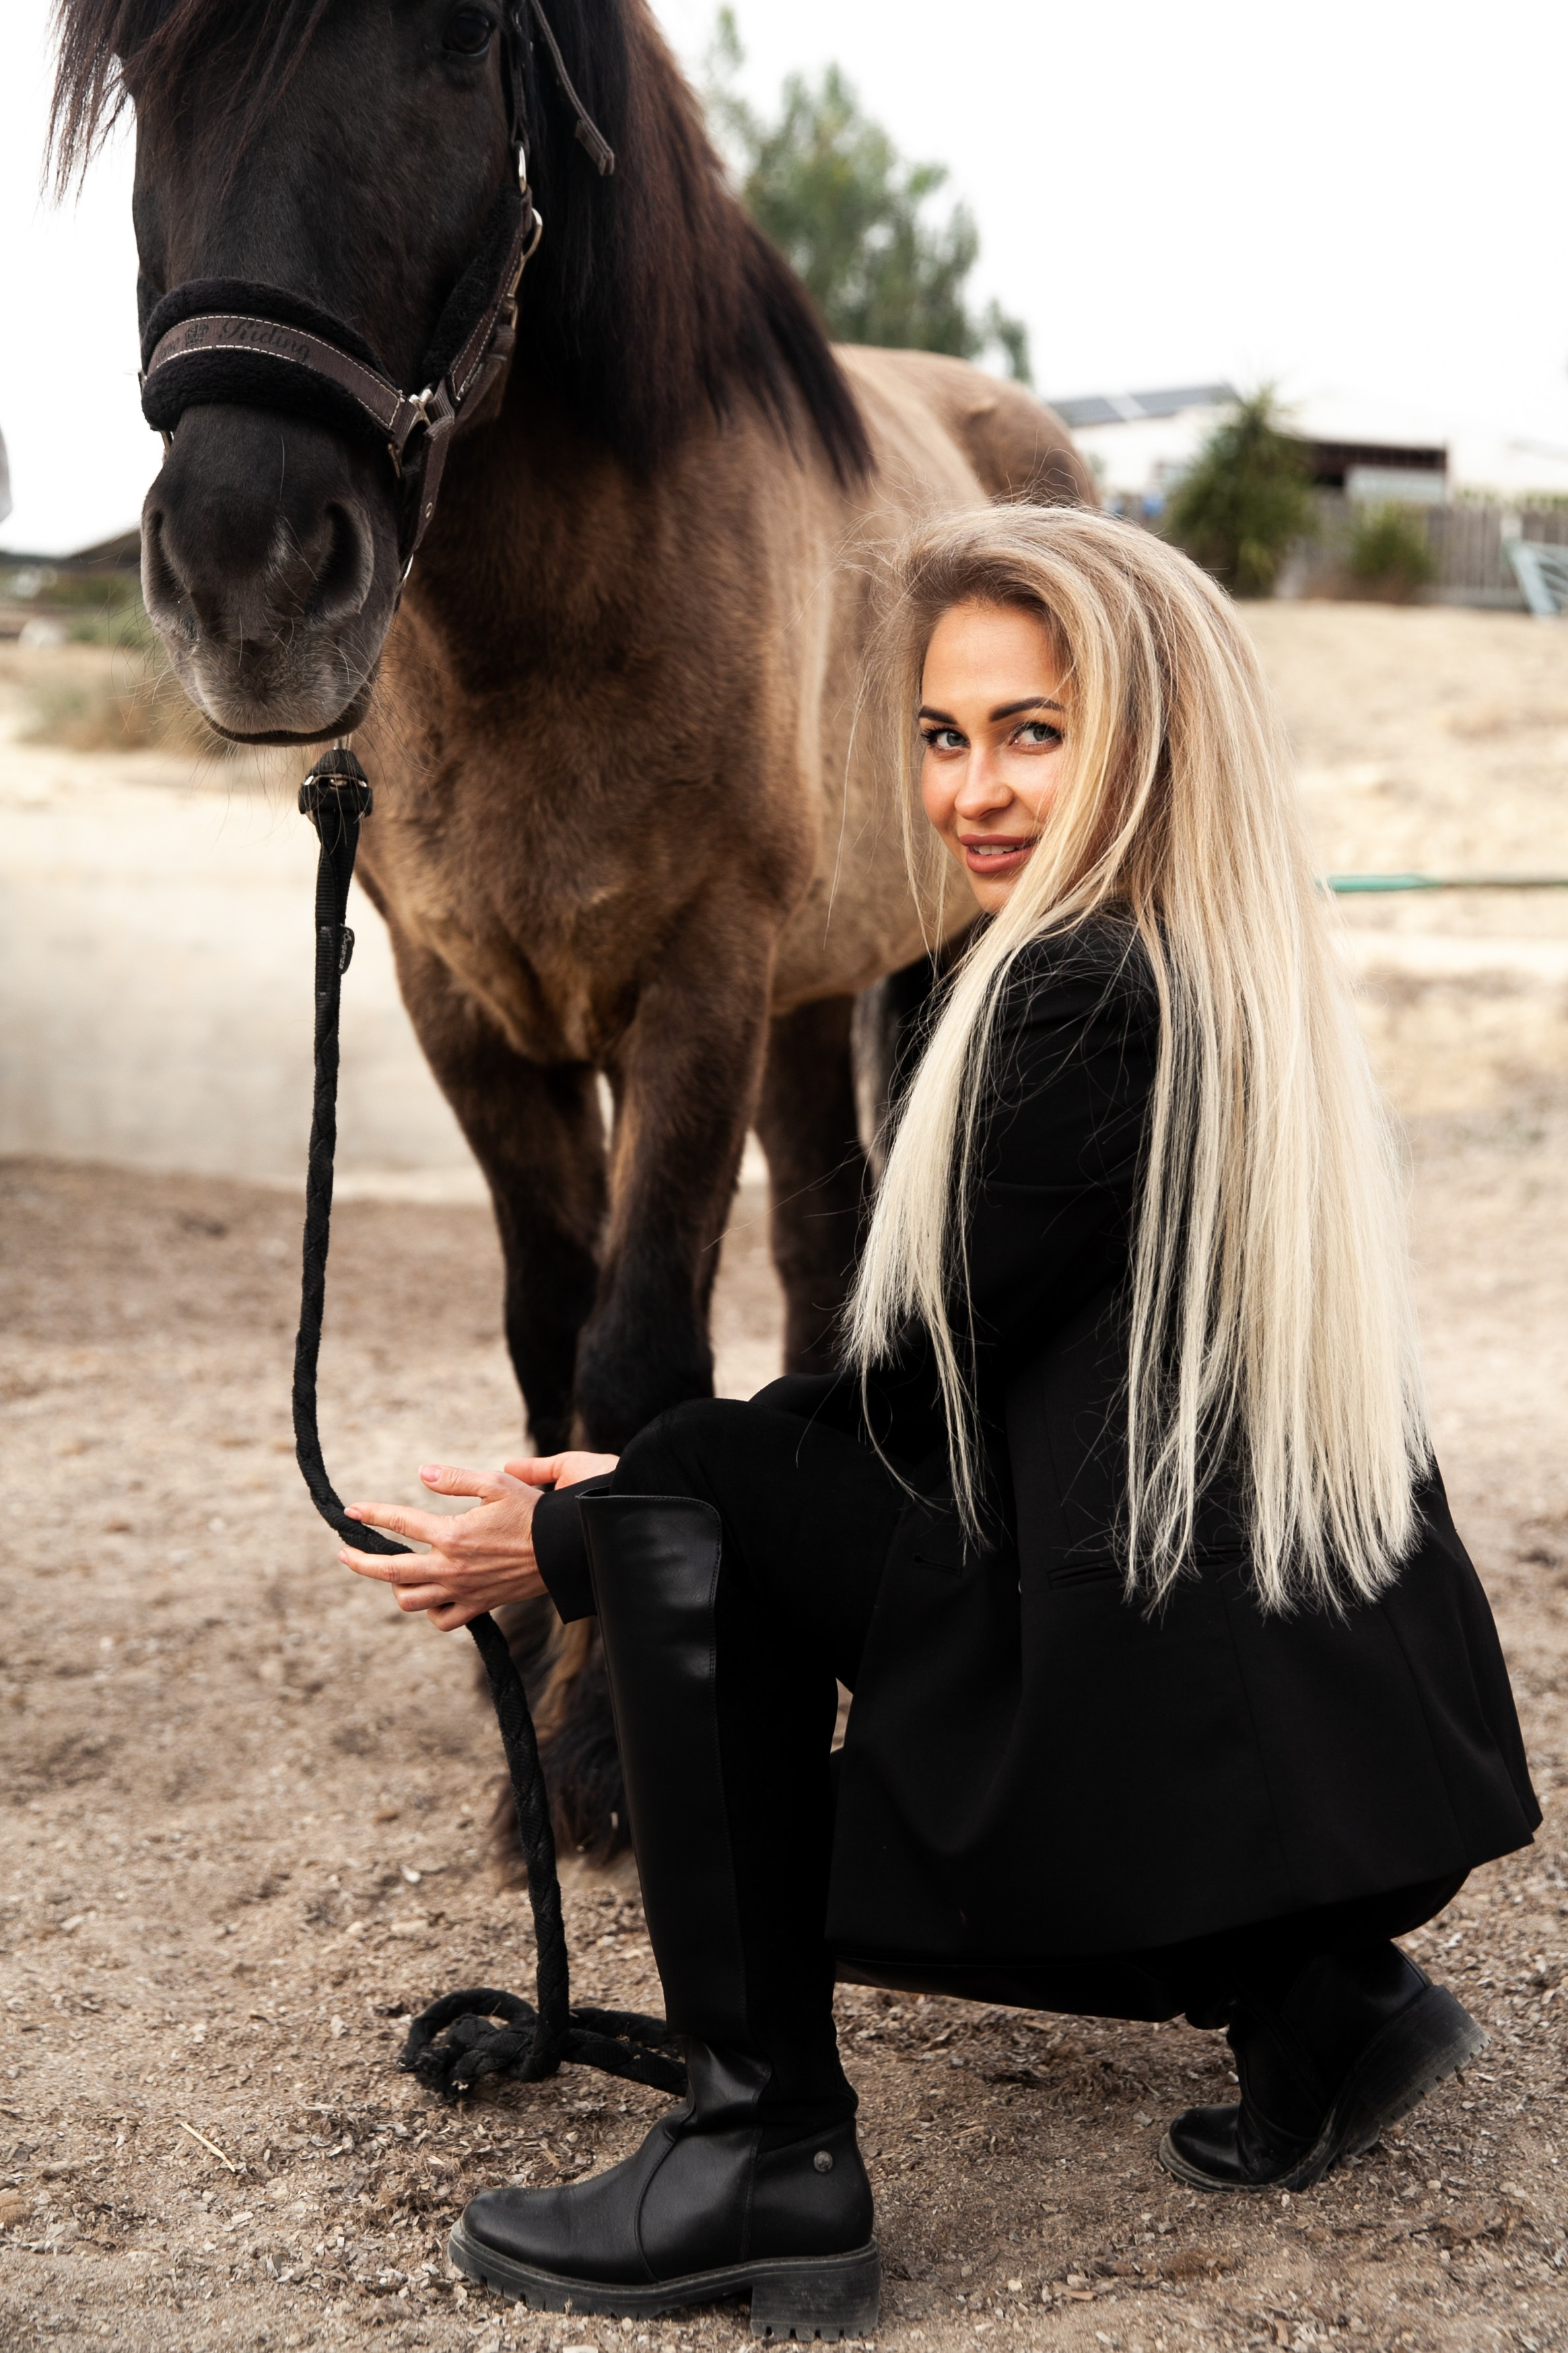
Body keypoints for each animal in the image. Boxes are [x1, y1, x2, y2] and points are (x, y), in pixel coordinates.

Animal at [53, 0, 1091, 1857]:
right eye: (152, 75)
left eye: (468, 41)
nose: (250, 575)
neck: (551, 610)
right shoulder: (459, 996)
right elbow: (551, 1324)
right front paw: (532, 1652)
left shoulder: (698, 983)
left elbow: (641, 1348)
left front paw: (609, 1738)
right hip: (803, 1001)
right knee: (821, 1238)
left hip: (911, 964)